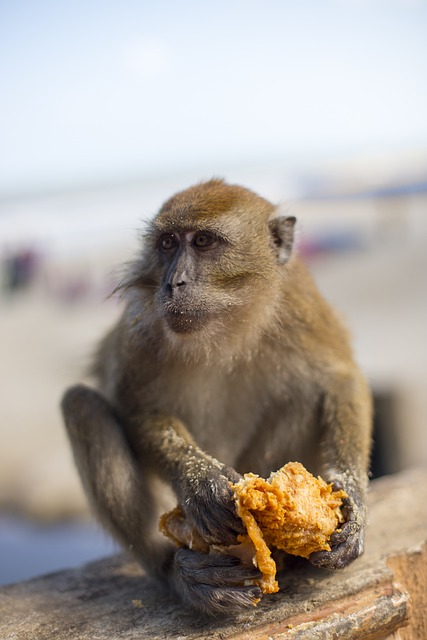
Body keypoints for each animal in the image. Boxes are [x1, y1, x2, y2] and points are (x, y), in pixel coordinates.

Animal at [60, 179, 372, 616]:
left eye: (204, 241)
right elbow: (135, 408)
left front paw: (353, 500)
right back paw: (177, 573)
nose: (173, 283)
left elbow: (339, 379)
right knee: (81, 406)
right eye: (168, 243)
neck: (225, 323)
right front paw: (200, 481)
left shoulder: (299, 302)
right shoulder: (143, 327)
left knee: (304, 397)